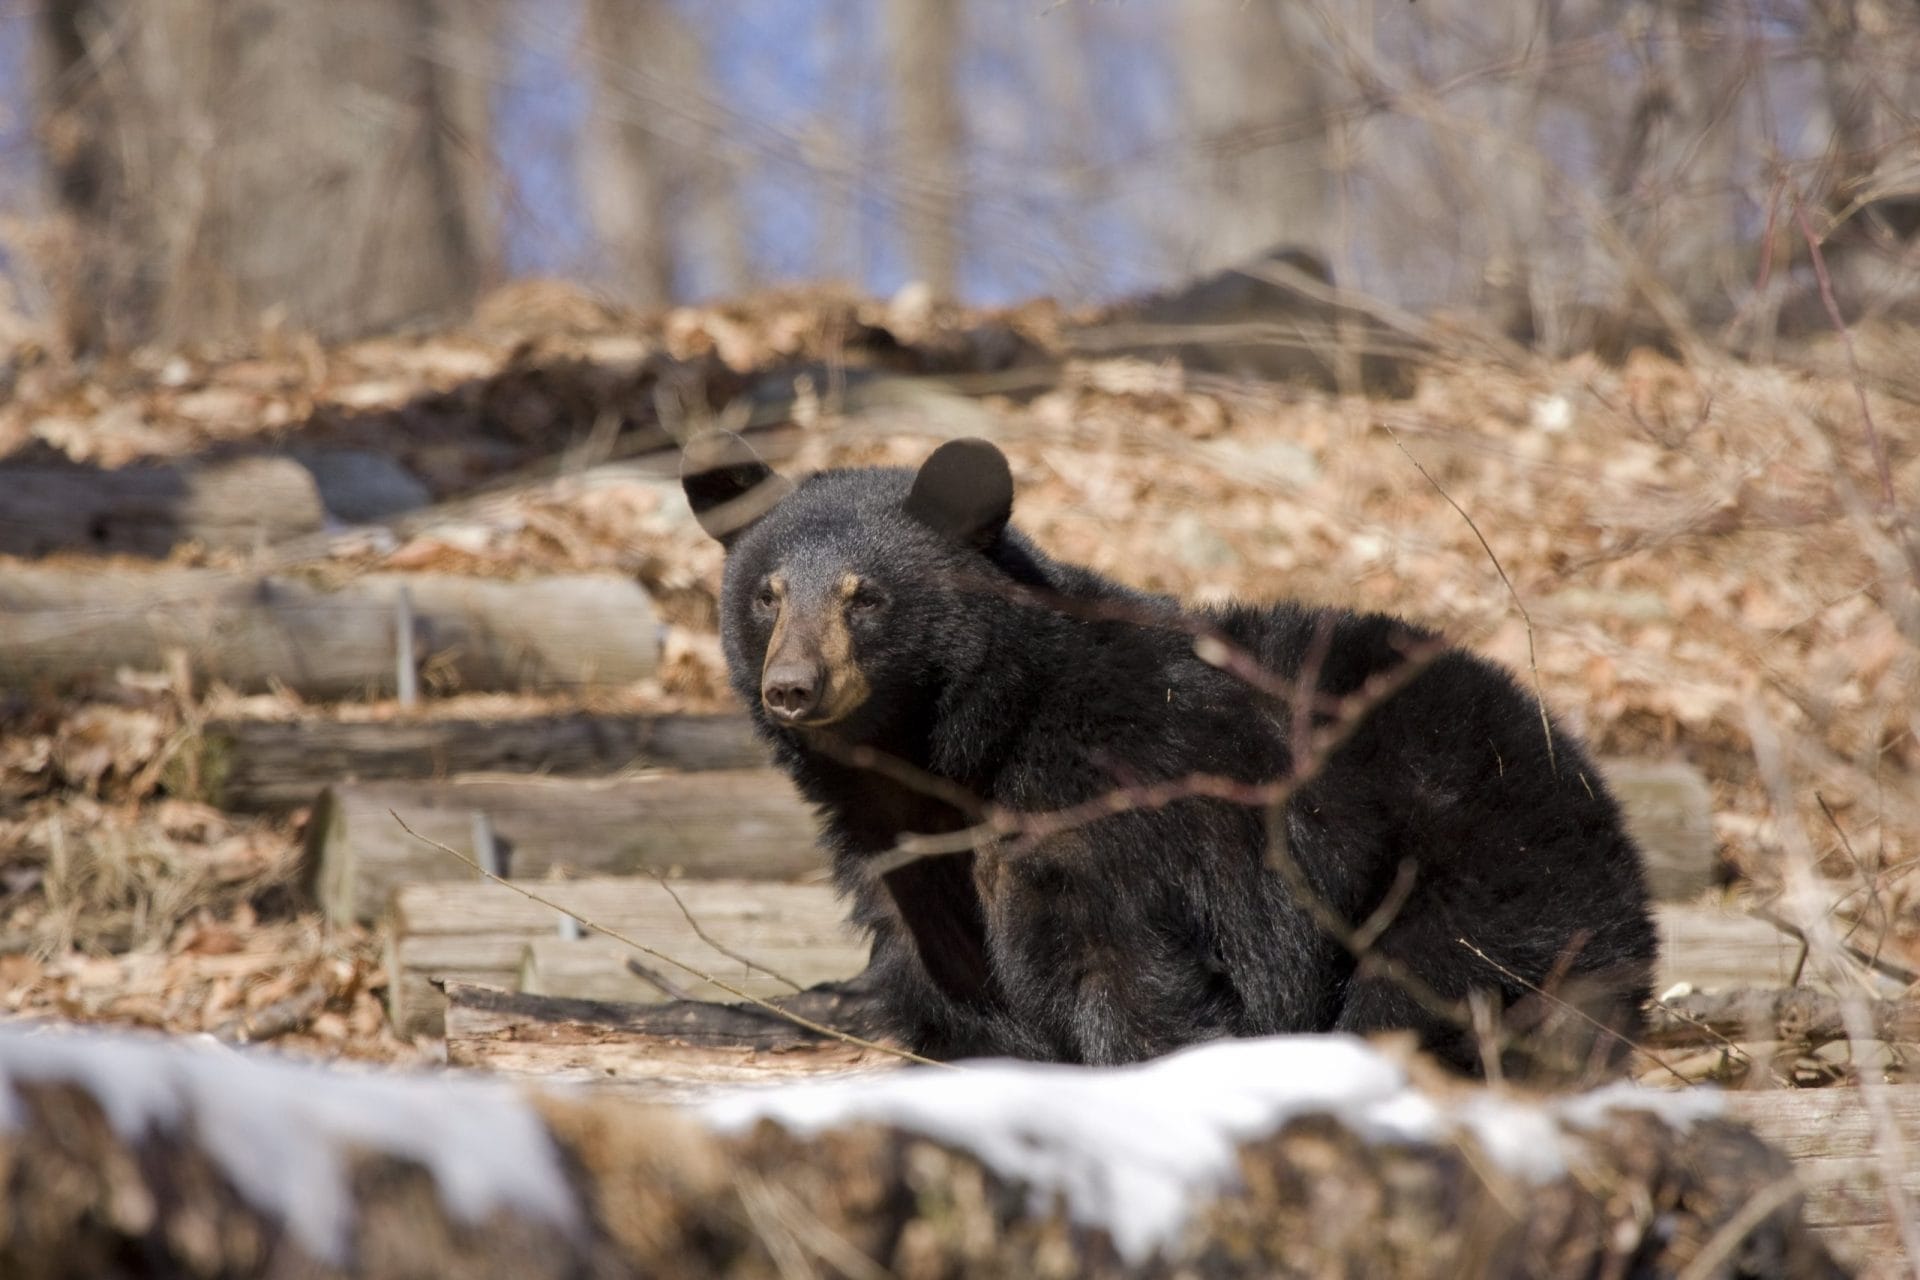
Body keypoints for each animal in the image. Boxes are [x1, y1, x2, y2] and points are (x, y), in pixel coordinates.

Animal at [682, 431, 1658, 1077]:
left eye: (866, 597)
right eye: (768, 593)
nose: (792, 687)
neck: (955, 758)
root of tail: (1581, 773)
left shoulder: (1115, 808)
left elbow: (1127, 969)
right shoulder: (908, 867)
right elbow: (953, 987)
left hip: (1478, 864)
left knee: (1441, 984)